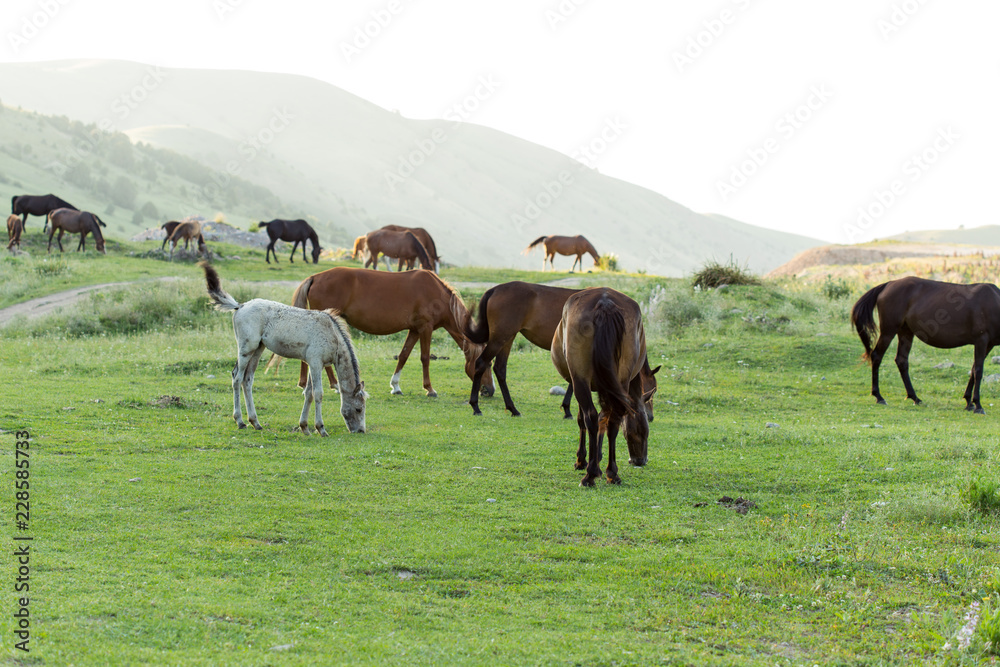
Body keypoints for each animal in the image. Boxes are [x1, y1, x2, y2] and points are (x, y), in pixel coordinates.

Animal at [200, 262, 367, 435]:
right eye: (358, 409)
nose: (361, 430)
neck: (332, 333)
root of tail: (241, 306)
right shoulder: (315, 363)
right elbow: (318, 393)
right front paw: (321, 429)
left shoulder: (315, 364)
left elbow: (308, 393)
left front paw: (305, 427)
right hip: (246, 349)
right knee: (237, 377)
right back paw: (240, 421)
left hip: (258, 350)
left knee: (247, 380)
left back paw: (255, 422)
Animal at [275, 267, 494, 398]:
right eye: (486, 364)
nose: (490, 391)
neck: (436, 294)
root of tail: (315, 277)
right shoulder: (426, 328)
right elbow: (425, 358)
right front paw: (429, 389)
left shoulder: (414, 330)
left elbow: (404, 356)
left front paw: (395, 386)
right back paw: (334, 384)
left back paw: (306, 383)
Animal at [465, 281, 661, 418]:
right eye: (652, 391)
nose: (650, 416)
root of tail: (494, 290)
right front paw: (568, 409)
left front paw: (567, 408)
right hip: (500, 338)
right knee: (481, 363)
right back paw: (475, 406)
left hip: (507, 337)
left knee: (500, 369)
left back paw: (512, 408)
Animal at [551, 288, 651, 486]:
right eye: (640, 431)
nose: (641, 460)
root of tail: (605, 303)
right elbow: (603, 420)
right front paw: (596, 460)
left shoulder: (580, 383)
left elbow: (584, 419)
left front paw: (584, 460)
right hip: (619, 380)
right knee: (614, 419)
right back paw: (612, 473)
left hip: (581, 379)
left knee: (590, 416)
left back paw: (589, 475)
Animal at [851, 276, 1000, 414]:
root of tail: (889, 284)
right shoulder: (981, 341)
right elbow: (978, 371)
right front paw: (978, 405)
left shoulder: (988, 344)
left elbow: (973, 370)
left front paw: (968, 402)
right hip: (889, 331)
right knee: (877, 356)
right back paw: (879, 396)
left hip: (906, 332)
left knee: (902, 361)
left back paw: (915, 397)